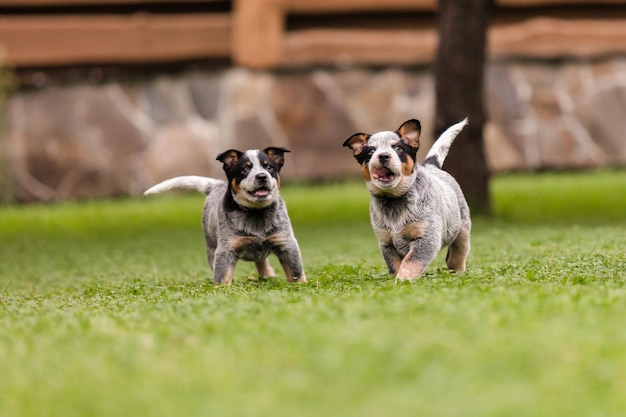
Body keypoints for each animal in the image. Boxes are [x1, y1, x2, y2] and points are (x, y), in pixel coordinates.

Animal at [144, 146, 304, 286]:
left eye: (269, 167)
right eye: (245, 169)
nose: (262, 176)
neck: (256, 213)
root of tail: (216, 186)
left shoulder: (286, 243)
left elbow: (295, 272)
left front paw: (300, 286)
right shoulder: (226, 249)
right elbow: (222, 275)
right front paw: (220, 290)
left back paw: (268, 275)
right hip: (211, 246)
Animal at [342, 119, 468, 280]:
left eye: (398, 148)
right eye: (371, 151)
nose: (383, 156)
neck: (394, 201)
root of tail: (431, 168)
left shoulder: (427, 238)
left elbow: (410, 262)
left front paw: (402, 280)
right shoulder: (387, 243)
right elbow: (396, 265)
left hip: (462, 230)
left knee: (456, 257)